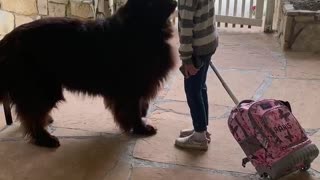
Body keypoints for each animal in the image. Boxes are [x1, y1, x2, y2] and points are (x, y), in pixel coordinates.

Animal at [0, 0, 178, 148]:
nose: (175, 2)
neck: (141, 25)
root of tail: (7, 40)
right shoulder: (130, 88)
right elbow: (133, 111)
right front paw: (141, 128)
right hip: (43, 88)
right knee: (33, 116)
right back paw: (46, 139)